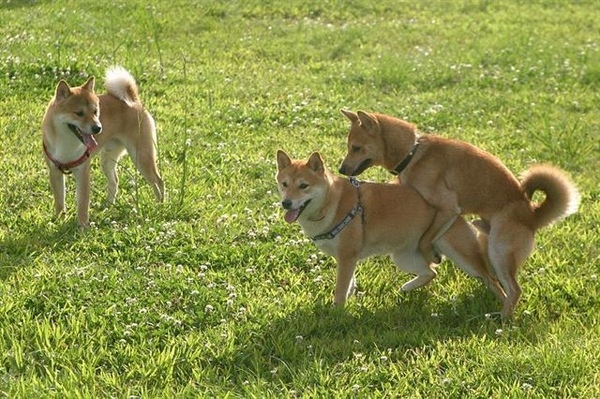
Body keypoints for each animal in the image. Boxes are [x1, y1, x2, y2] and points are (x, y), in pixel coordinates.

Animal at [41, 67, 165, 227]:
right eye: (79, 113)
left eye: (95, 111)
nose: (98, 128)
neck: (66, 142)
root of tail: (134, 100)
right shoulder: (55, 171)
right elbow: (59, 201)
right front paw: (58, 220)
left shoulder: (83, 172)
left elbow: (82, 203)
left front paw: (82, 226)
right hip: (107, 160)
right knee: (114, 181)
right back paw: (108, 205)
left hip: (141, 157)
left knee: (158, 181)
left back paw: (161, 205)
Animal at [276, 152, 506, 308]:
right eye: (284, 184)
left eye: (303, 186)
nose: (286, 203)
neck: (331, 203)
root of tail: (455, 213)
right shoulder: (347, 258)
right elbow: (350, 283)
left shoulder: (347, 256)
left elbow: (341, 288)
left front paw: (336, 311)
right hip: (403, 257)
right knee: (431, 272)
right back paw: (409, 287)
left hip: (461, 256)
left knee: (491, 279)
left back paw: (503, 306)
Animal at [340, 110, 580, 318]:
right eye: (350, 147)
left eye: (356, 148)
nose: (341, 170)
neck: (413, 153)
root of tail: (531, 215)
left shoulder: (448, 208)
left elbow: (426, 239)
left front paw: (432, 257)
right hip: (487, 243)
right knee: (495, 279)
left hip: (500, 250)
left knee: (514, 289)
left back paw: (502, 318)